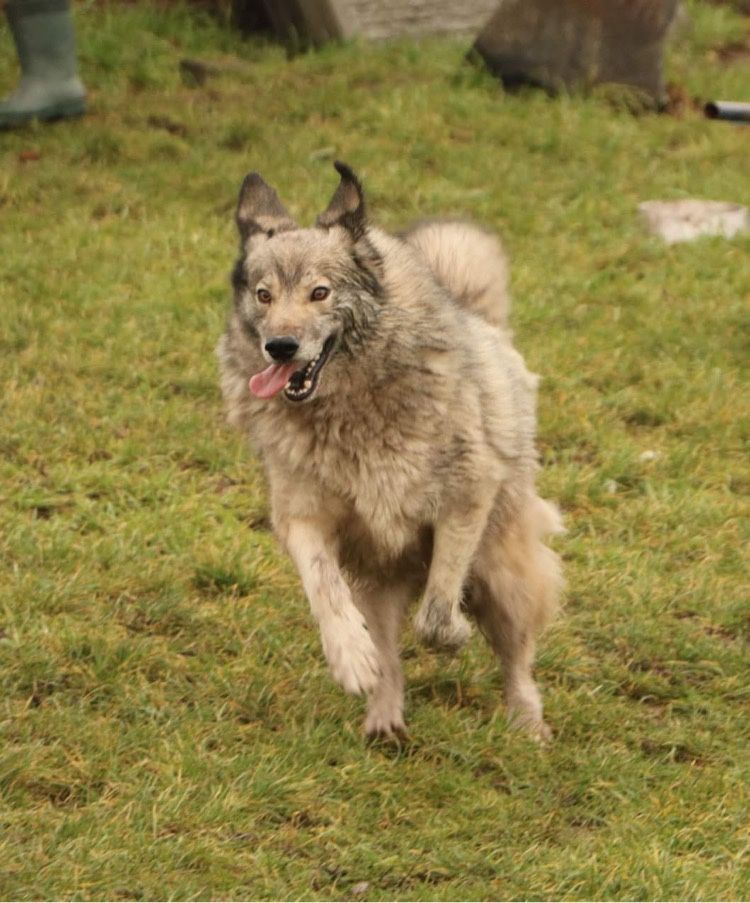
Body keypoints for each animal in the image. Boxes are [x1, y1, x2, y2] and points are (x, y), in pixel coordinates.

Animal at [217, 164, 564, 740]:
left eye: (319, 292)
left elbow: (437, 613)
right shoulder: (302, 518)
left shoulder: (465, 500)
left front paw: (452, 634)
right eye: (264, 295)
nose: (280, 347)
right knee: (389, 655)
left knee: (516, 658)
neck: (353, 411)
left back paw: (527, 723)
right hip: (379, 585)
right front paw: (350, 657)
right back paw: (383, 718)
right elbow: (325, 589)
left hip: (503, 572)